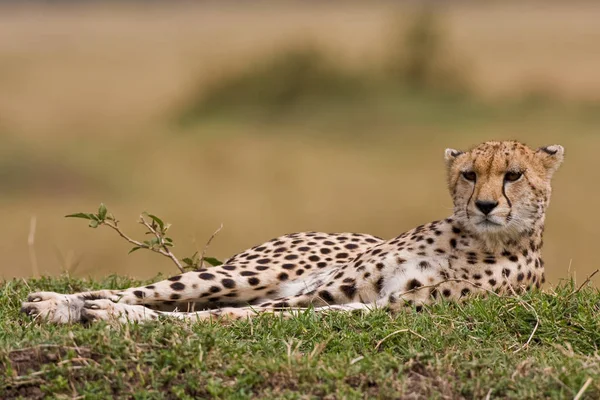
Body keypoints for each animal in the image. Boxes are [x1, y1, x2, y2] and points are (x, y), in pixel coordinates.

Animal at [19, 142, 564, 324]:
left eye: (513, 175)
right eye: (470, 174)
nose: (486, 205)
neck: (476, 240)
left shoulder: (380, 306)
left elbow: (225, 320)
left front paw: (118, 321)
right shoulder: (327, 292)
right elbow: (225, 316)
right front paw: (96, 312)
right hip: (250, 273)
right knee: (150, 289)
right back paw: (54, 302)